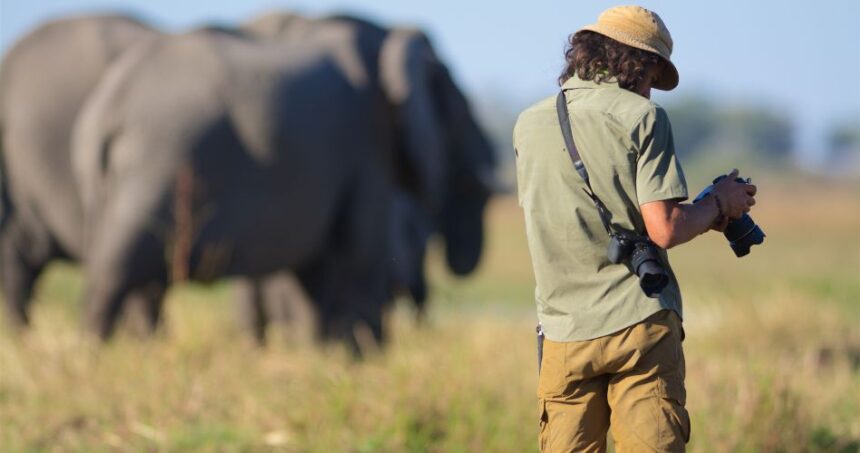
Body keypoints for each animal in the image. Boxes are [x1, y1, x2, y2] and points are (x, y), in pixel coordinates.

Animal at [74, 15, 498, 346]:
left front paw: (327, 359)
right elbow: (358, 256)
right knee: (117, 272)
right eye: (460, 113)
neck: (387, 39)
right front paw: (358, 361)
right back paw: (97, 355)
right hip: (164, 159)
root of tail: (106, 108)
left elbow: (318, 274)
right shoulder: (367, 144)